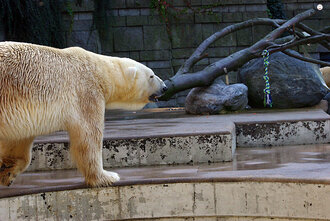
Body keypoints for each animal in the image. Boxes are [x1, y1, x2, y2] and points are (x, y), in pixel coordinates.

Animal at [0, 41, 168, 186]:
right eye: (151, 75)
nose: (165, 87)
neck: (101, 71)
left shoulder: (22, 116)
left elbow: (18, 140)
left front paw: (7, 172)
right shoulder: (86, 92)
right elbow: (88, 136)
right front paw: (107, 176)